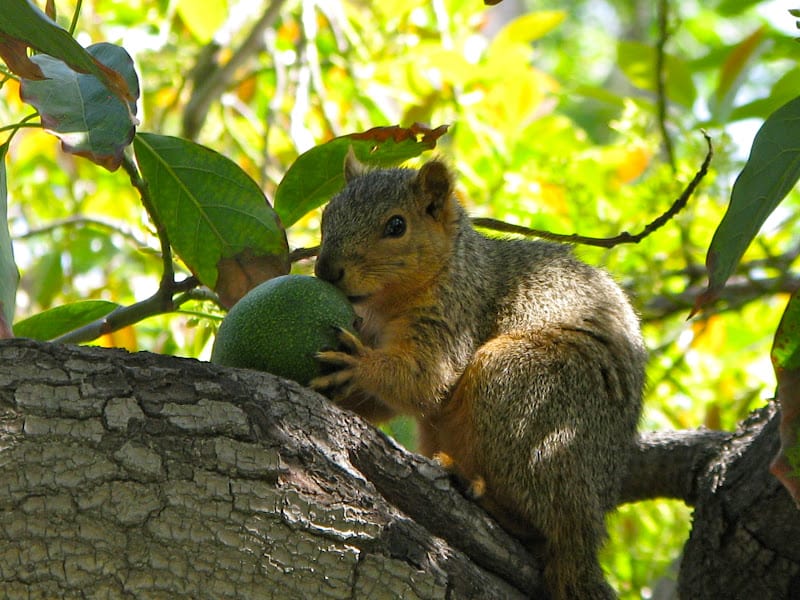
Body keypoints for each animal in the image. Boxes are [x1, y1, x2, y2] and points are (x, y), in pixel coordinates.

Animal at [310, 152, 648, 596]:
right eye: (327, 213)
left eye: (396, 226)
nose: (326, 269)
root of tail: (588, 530)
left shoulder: (455, 314)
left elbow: (425, 379)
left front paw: (359, 366)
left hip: (522, 386)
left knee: (543, 525)